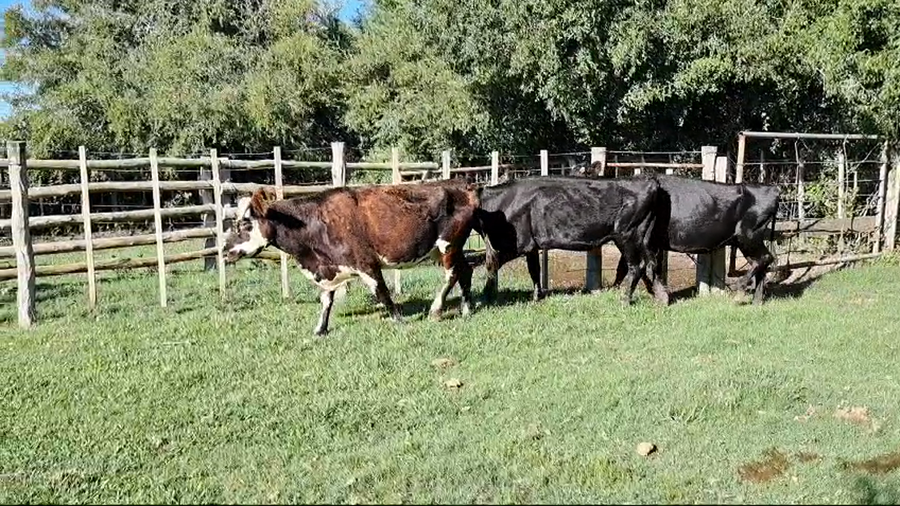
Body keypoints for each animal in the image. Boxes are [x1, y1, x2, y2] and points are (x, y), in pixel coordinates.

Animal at [223, 179, 480, 336]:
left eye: (244, 224)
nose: (225, 251)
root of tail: (459, 185)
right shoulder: (330, 267)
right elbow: (326, 300)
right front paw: (320, 329)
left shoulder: (366, 263)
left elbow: (383, 293)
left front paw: (398, 320)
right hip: (445, 249)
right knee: (465, 271)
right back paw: (467, 308)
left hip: (448, 245)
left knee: (452, 274)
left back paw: (436, 310)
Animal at [471, 175, 665, 306]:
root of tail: (649, 181)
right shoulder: (531, 246)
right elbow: (534, 270)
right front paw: (537, 296)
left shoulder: (519, 244)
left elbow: (492, 265)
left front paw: (485, 296)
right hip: (642, 238)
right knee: (650, 263)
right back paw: (660, 295)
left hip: (627, 235)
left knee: (636, 266)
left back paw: (625, 299)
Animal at [575, 166, 781, 304]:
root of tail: (772, 189)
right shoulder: (649, 243)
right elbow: (638, 267)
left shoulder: (640, 240)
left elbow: (635, 266)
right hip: (745, 240)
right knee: (761, 263)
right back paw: (755, 301)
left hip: (748, 236)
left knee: (765, 258)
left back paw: (739, 289)